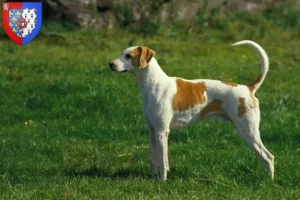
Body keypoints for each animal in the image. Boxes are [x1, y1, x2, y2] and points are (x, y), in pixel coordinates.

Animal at [109, 39, 274, 180]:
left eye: (128, 56)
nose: (110, 64)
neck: (154, 84)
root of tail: (248, 88)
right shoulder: (152, 131)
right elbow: (154, 160)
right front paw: (153, 179)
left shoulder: (162, 131)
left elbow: (162, 161)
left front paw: (162, 181)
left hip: (248, 131)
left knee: (268, 157)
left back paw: (268, 182)